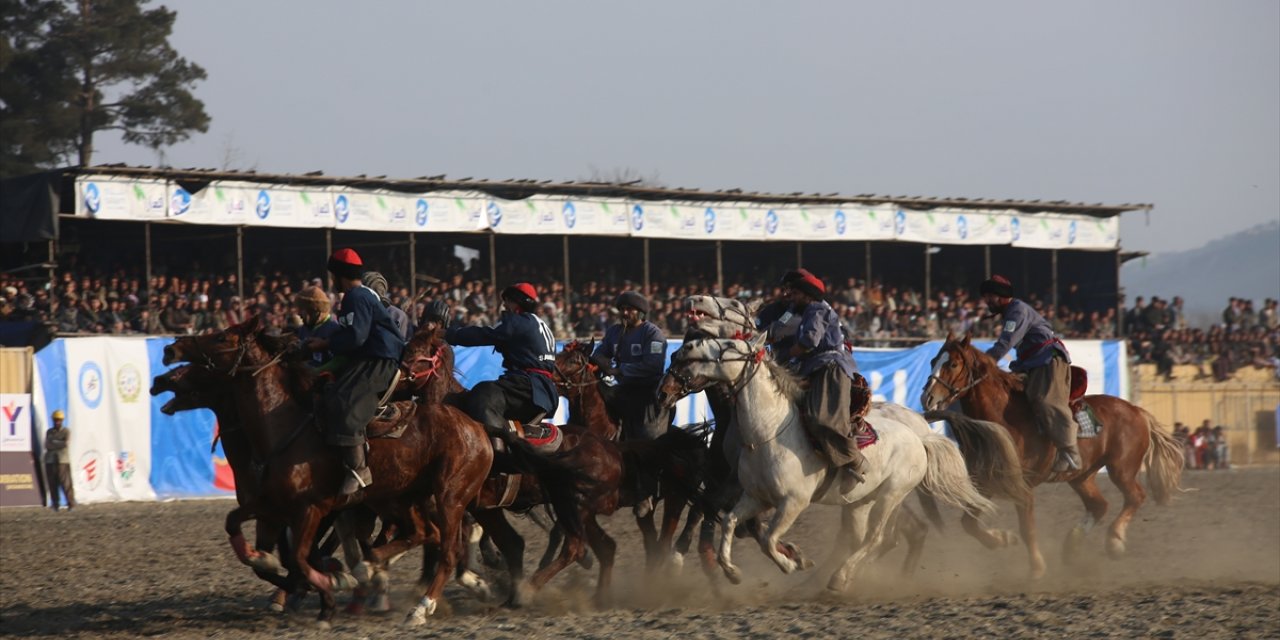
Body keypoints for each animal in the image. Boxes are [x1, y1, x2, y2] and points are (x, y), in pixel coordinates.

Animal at [660, 337, 998, 591]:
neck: (767, 433)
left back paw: (839, 578)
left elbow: (768, 539)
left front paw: (789, 563)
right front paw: (732, 571)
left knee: (877, 537)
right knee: (866, 538)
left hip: (892, 496)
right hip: (861, 501)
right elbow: (730, 521)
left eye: (729, 343)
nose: (683, 350)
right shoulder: (755, 497)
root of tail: (921, 437)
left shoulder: (792, 503)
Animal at [921, 332, 1187, 578]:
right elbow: (968, 524)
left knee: (1135, 496)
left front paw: (1037, 568)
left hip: (1121, 469)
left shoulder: (1023, 487)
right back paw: (1072, 547)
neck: (1001, 421)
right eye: (933, 360)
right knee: (1099, 505)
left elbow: (1027, 529)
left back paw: (1114, 541)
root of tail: (1137, 411)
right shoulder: (985, 483)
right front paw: (1002, 539)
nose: (927, 397)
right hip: (1082, 476)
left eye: (953, 364)